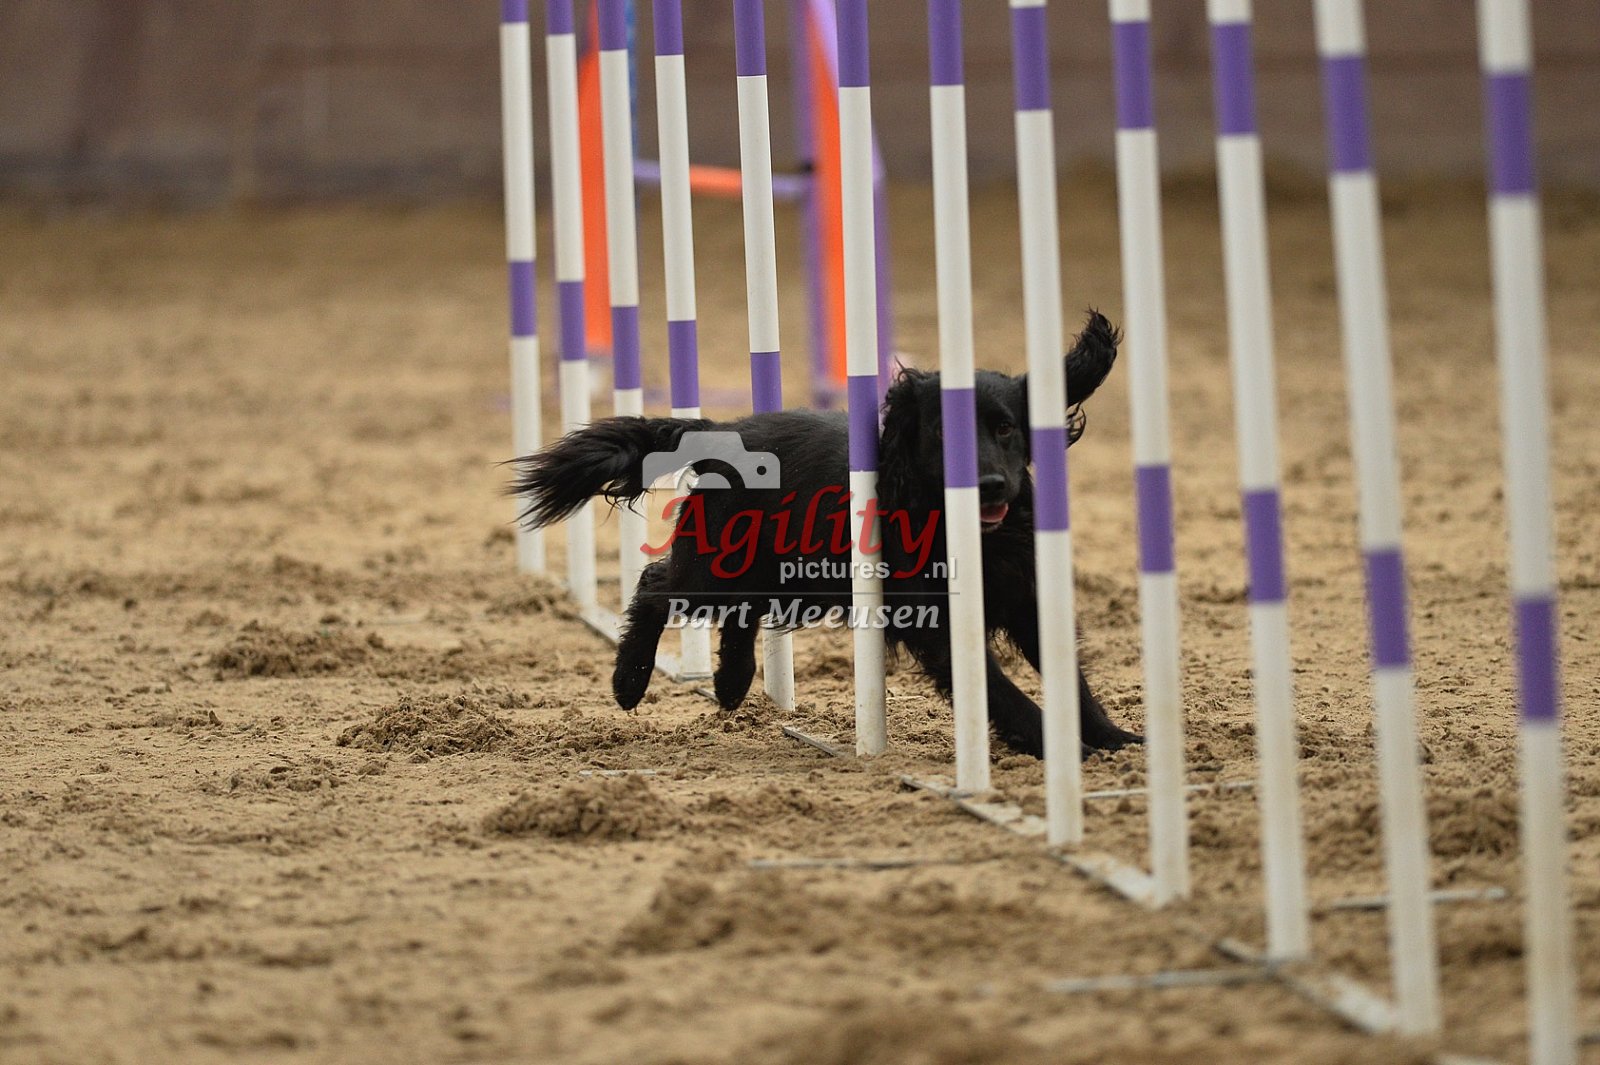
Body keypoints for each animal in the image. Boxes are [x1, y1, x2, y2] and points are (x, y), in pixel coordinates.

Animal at [511, 310, 1138, 758]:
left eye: (1006, 427)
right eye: (944, 434)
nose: (990, 487)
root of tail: (721, 432)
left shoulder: (1027, 598)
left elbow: (1071, 677)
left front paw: (1115, 739)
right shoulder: (936, 621)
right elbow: (996, 686)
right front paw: (1054, 742)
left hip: (785, 573)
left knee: (740, 612)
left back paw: (731, 684)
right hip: (719, 564)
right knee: (656, 584)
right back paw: (630, 681)